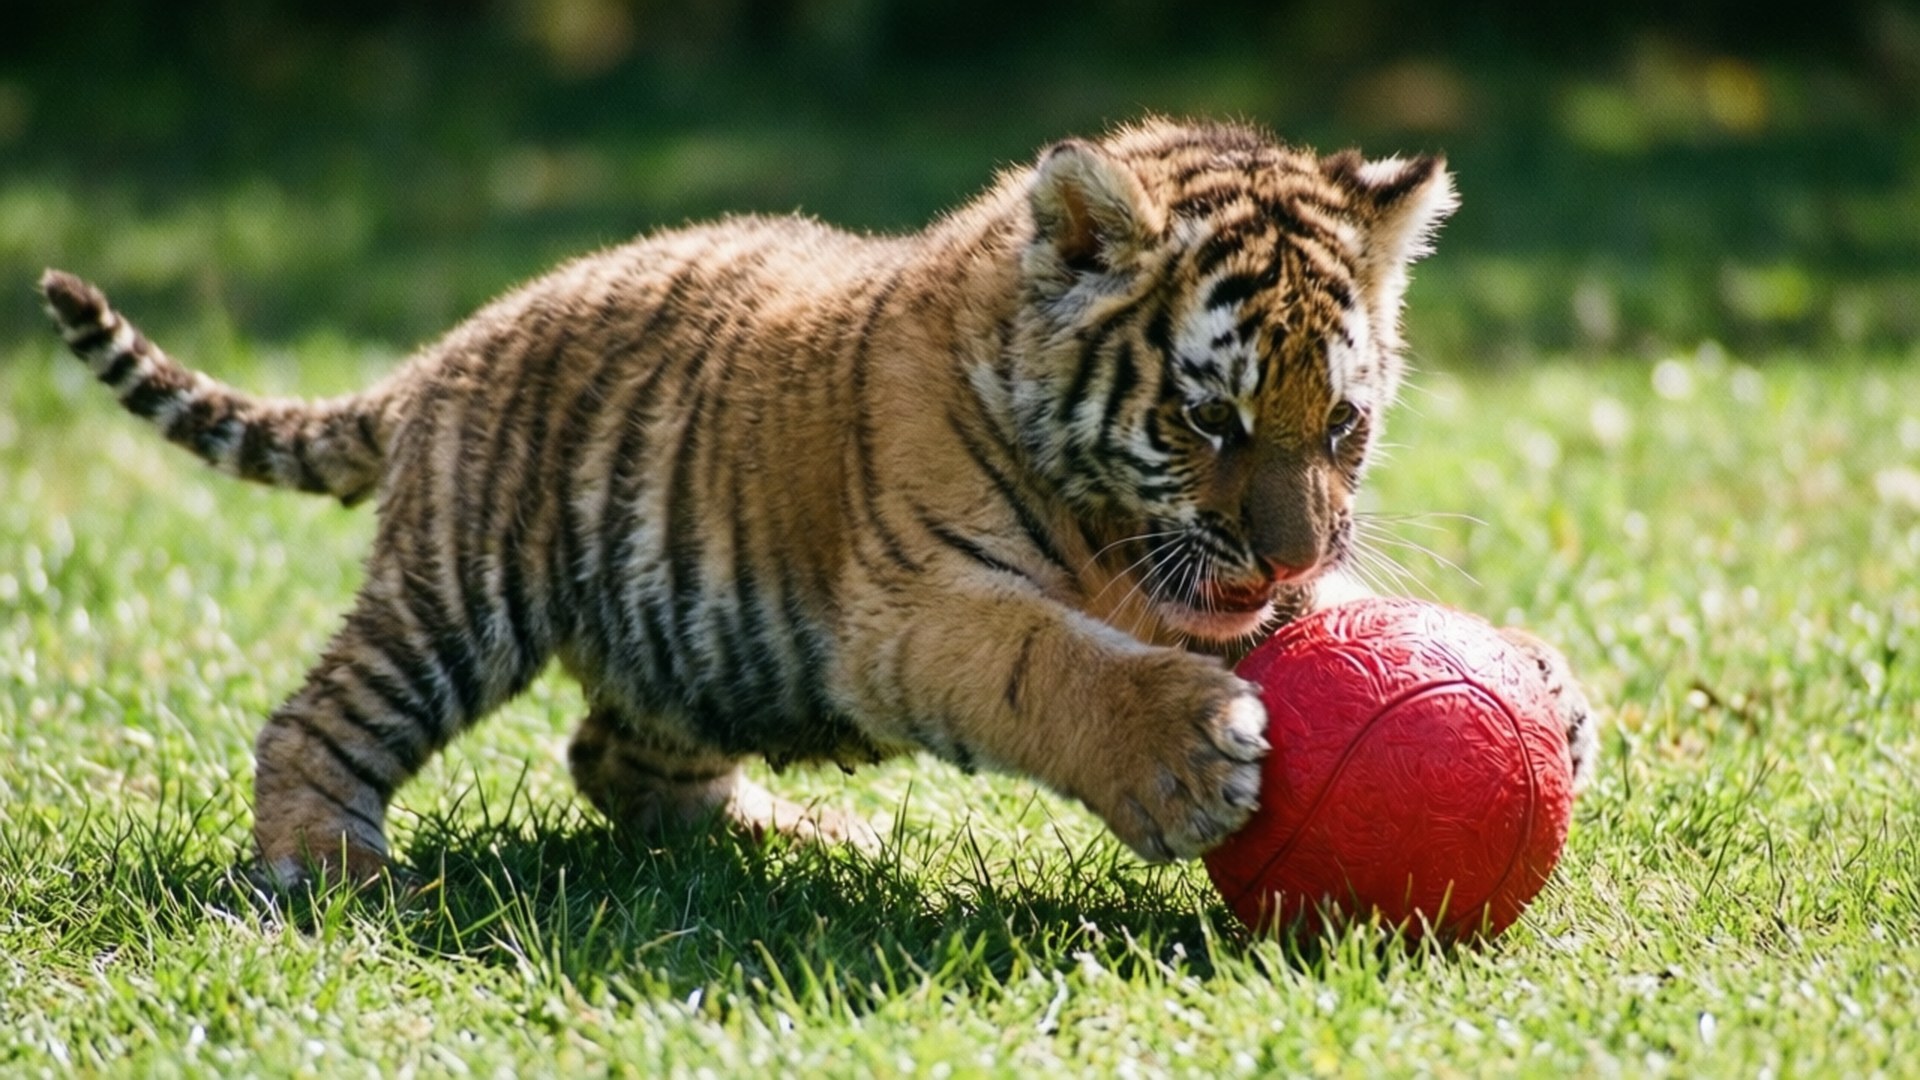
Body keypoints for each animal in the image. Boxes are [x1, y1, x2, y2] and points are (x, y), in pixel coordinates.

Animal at [40, 118, 1596, 890]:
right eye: (1206, 420)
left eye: (1341, 424)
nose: (1284, 553)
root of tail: (449, 347)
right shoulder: (912, 610)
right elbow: (1052, 662)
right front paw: (1187, 755)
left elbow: (1339, 607)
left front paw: (1548, 693)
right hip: (456, 599)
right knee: (320, 719)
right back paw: (326, 868)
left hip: (684, 646)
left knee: (612, 759)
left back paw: (794, 837)